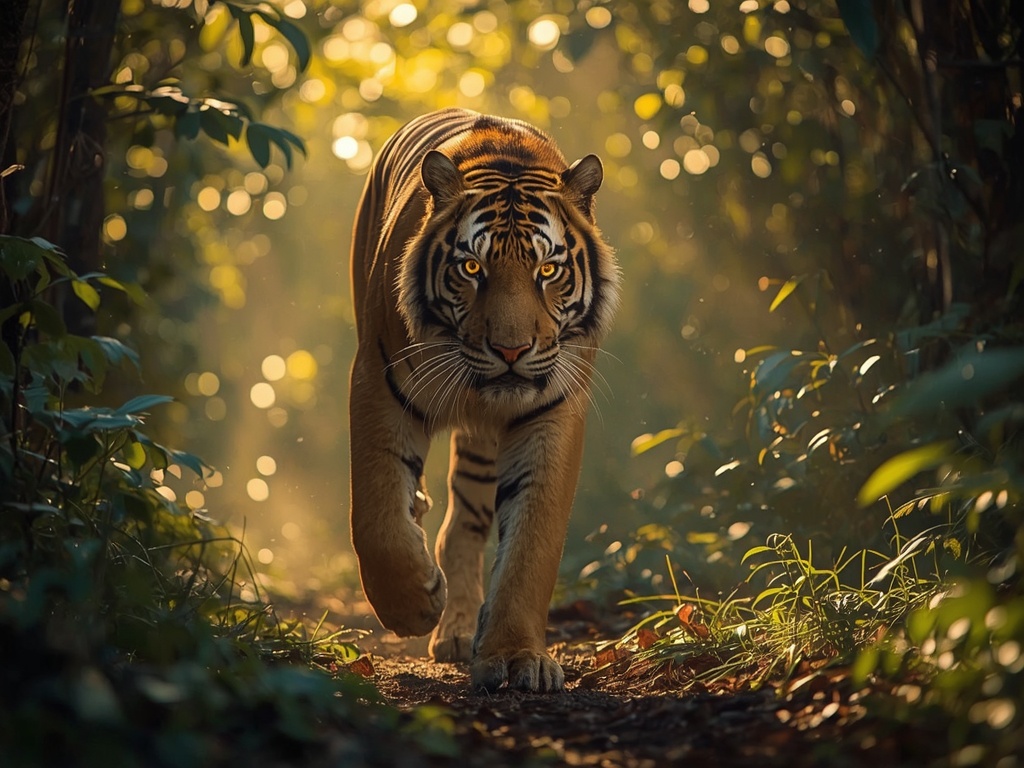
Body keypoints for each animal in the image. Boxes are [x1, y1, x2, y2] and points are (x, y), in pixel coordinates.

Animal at [348, 107, 619, 692]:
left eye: (548, 270)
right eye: (472, 268)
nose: (511, 350)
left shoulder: (551, 413)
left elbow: (531, 547)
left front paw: (516, 657)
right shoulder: (378, 385)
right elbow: (376, 518)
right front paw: (412, 605)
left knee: (463, 527)